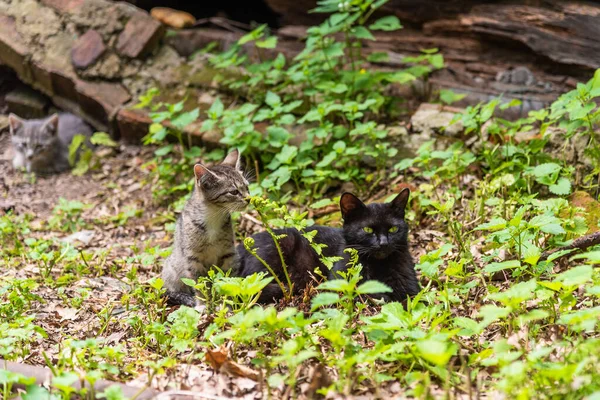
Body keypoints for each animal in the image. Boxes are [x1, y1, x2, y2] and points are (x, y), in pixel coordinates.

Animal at [161, 148, 250, 308]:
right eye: (234, 192)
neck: (213, 217)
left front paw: (227, 303)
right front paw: (202, 304)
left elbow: (228, 280)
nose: (249, 198)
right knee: (170, 290)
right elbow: (199, 284)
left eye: (247, 187)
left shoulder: (228, 254)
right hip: (172, 269)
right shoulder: (192, 258)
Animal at [237, 189, 420, 302]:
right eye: (367, 229)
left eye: (393, 229)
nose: (383, 243)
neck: (378, 265)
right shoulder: (341, 282)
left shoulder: (410, 287)